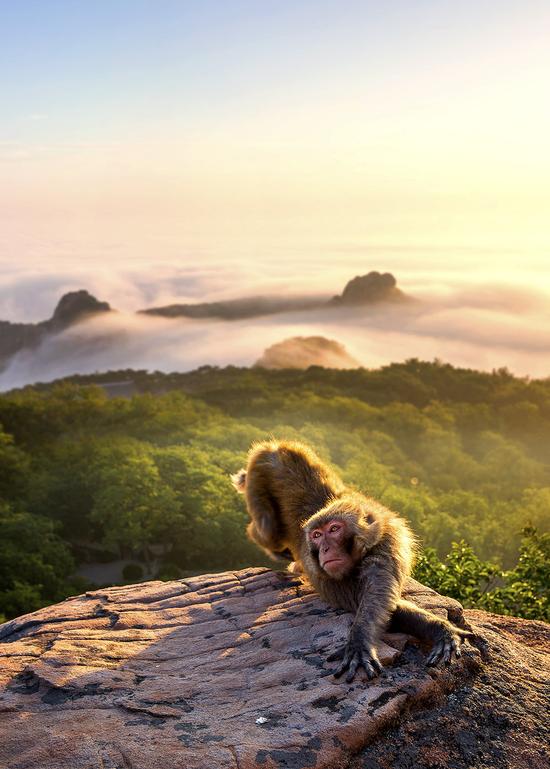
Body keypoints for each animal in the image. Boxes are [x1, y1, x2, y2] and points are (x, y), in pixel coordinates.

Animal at [233, 440, 478, 680]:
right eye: (317, 535)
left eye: (334, 529)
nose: (324, 549)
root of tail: (275, 446)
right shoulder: (328, 577)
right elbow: (371, 601)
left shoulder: (388, 547)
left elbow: (379, 598)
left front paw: (440, 629)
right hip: (259, 473)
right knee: (267, 530)